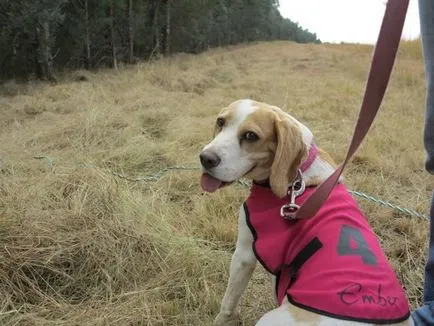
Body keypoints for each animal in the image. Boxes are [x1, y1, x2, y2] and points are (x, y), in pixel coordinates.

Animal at [200, 100, 414, 326]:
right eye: (220, 122)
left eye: (251, 136)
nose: (205, 158)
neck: (297, 176)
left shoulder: (244, 254)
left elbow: (228, 303)